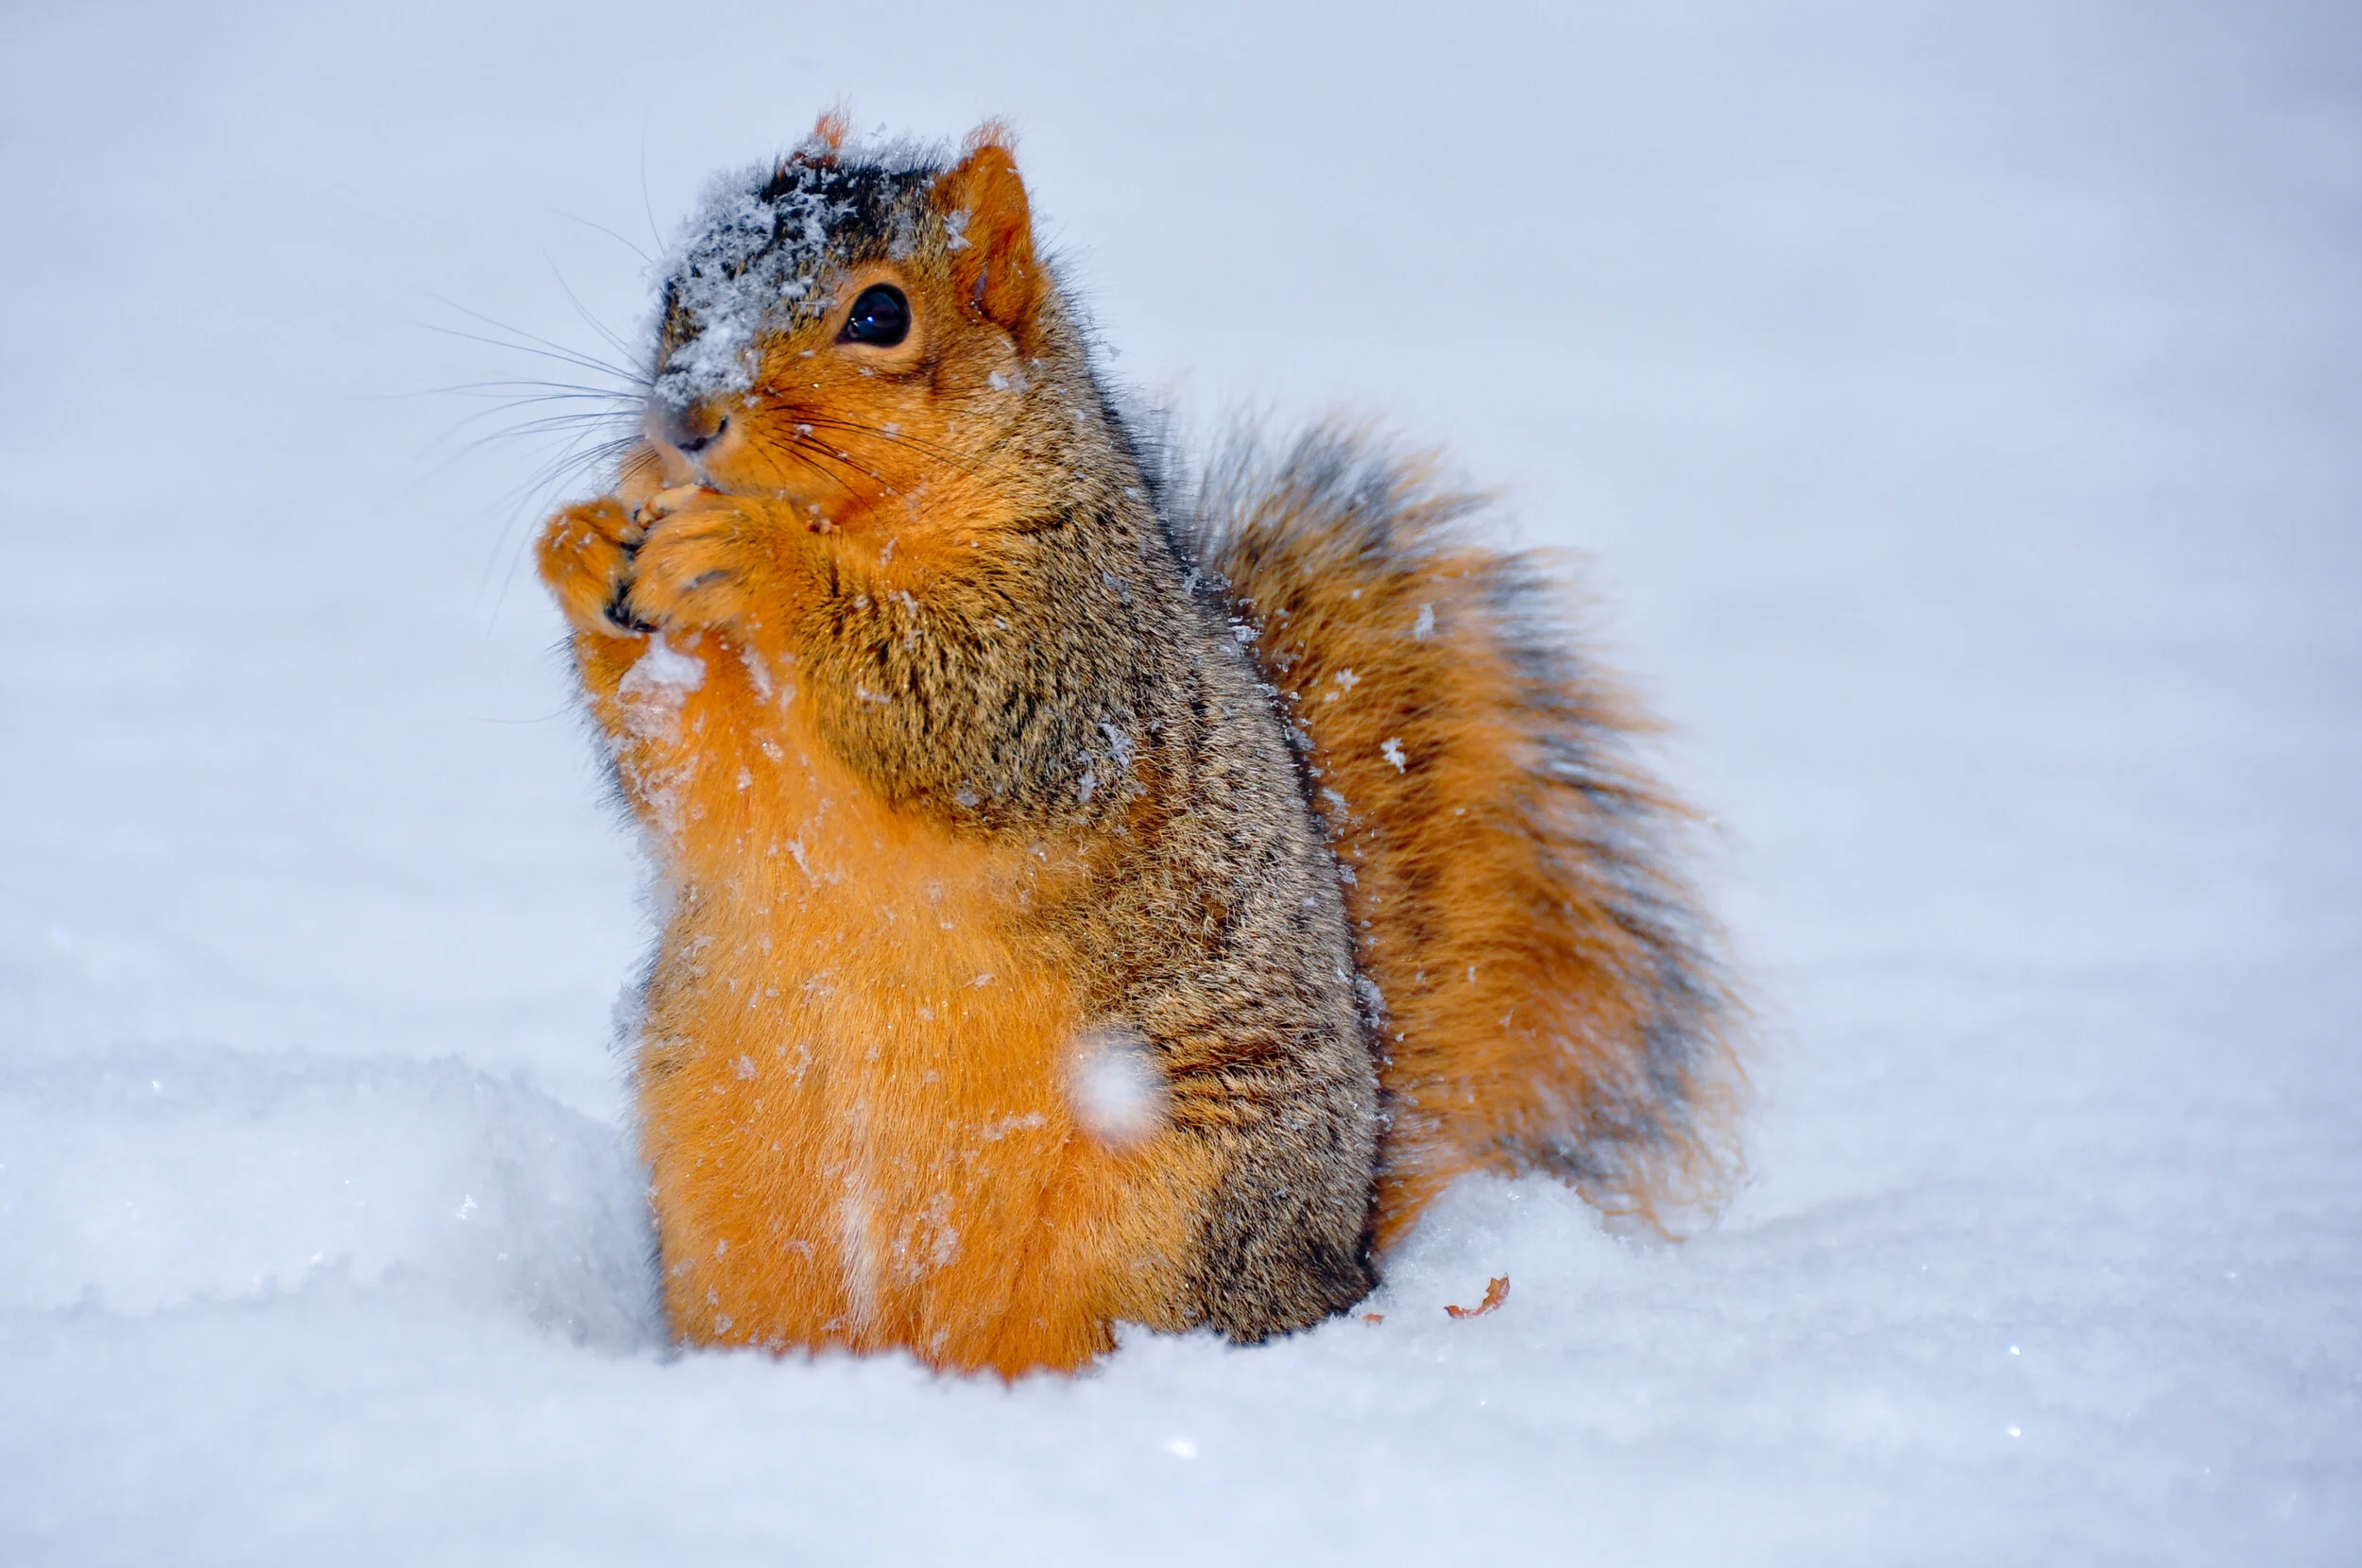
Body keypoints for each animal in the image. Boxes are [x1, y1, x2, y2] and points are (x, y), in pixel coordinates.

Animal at [534, 115, 1741, 1376]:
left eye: (879, 315)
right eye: (676, 288)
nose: (683, 421)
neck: (862, 524)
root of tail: (1346, 1264)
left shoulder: (1086, 644)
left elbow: (969, 702)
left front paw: (751, 555)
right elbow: (683, 776)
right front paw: (584, 544)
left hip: (1177, 1202)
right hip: (721, 1181)